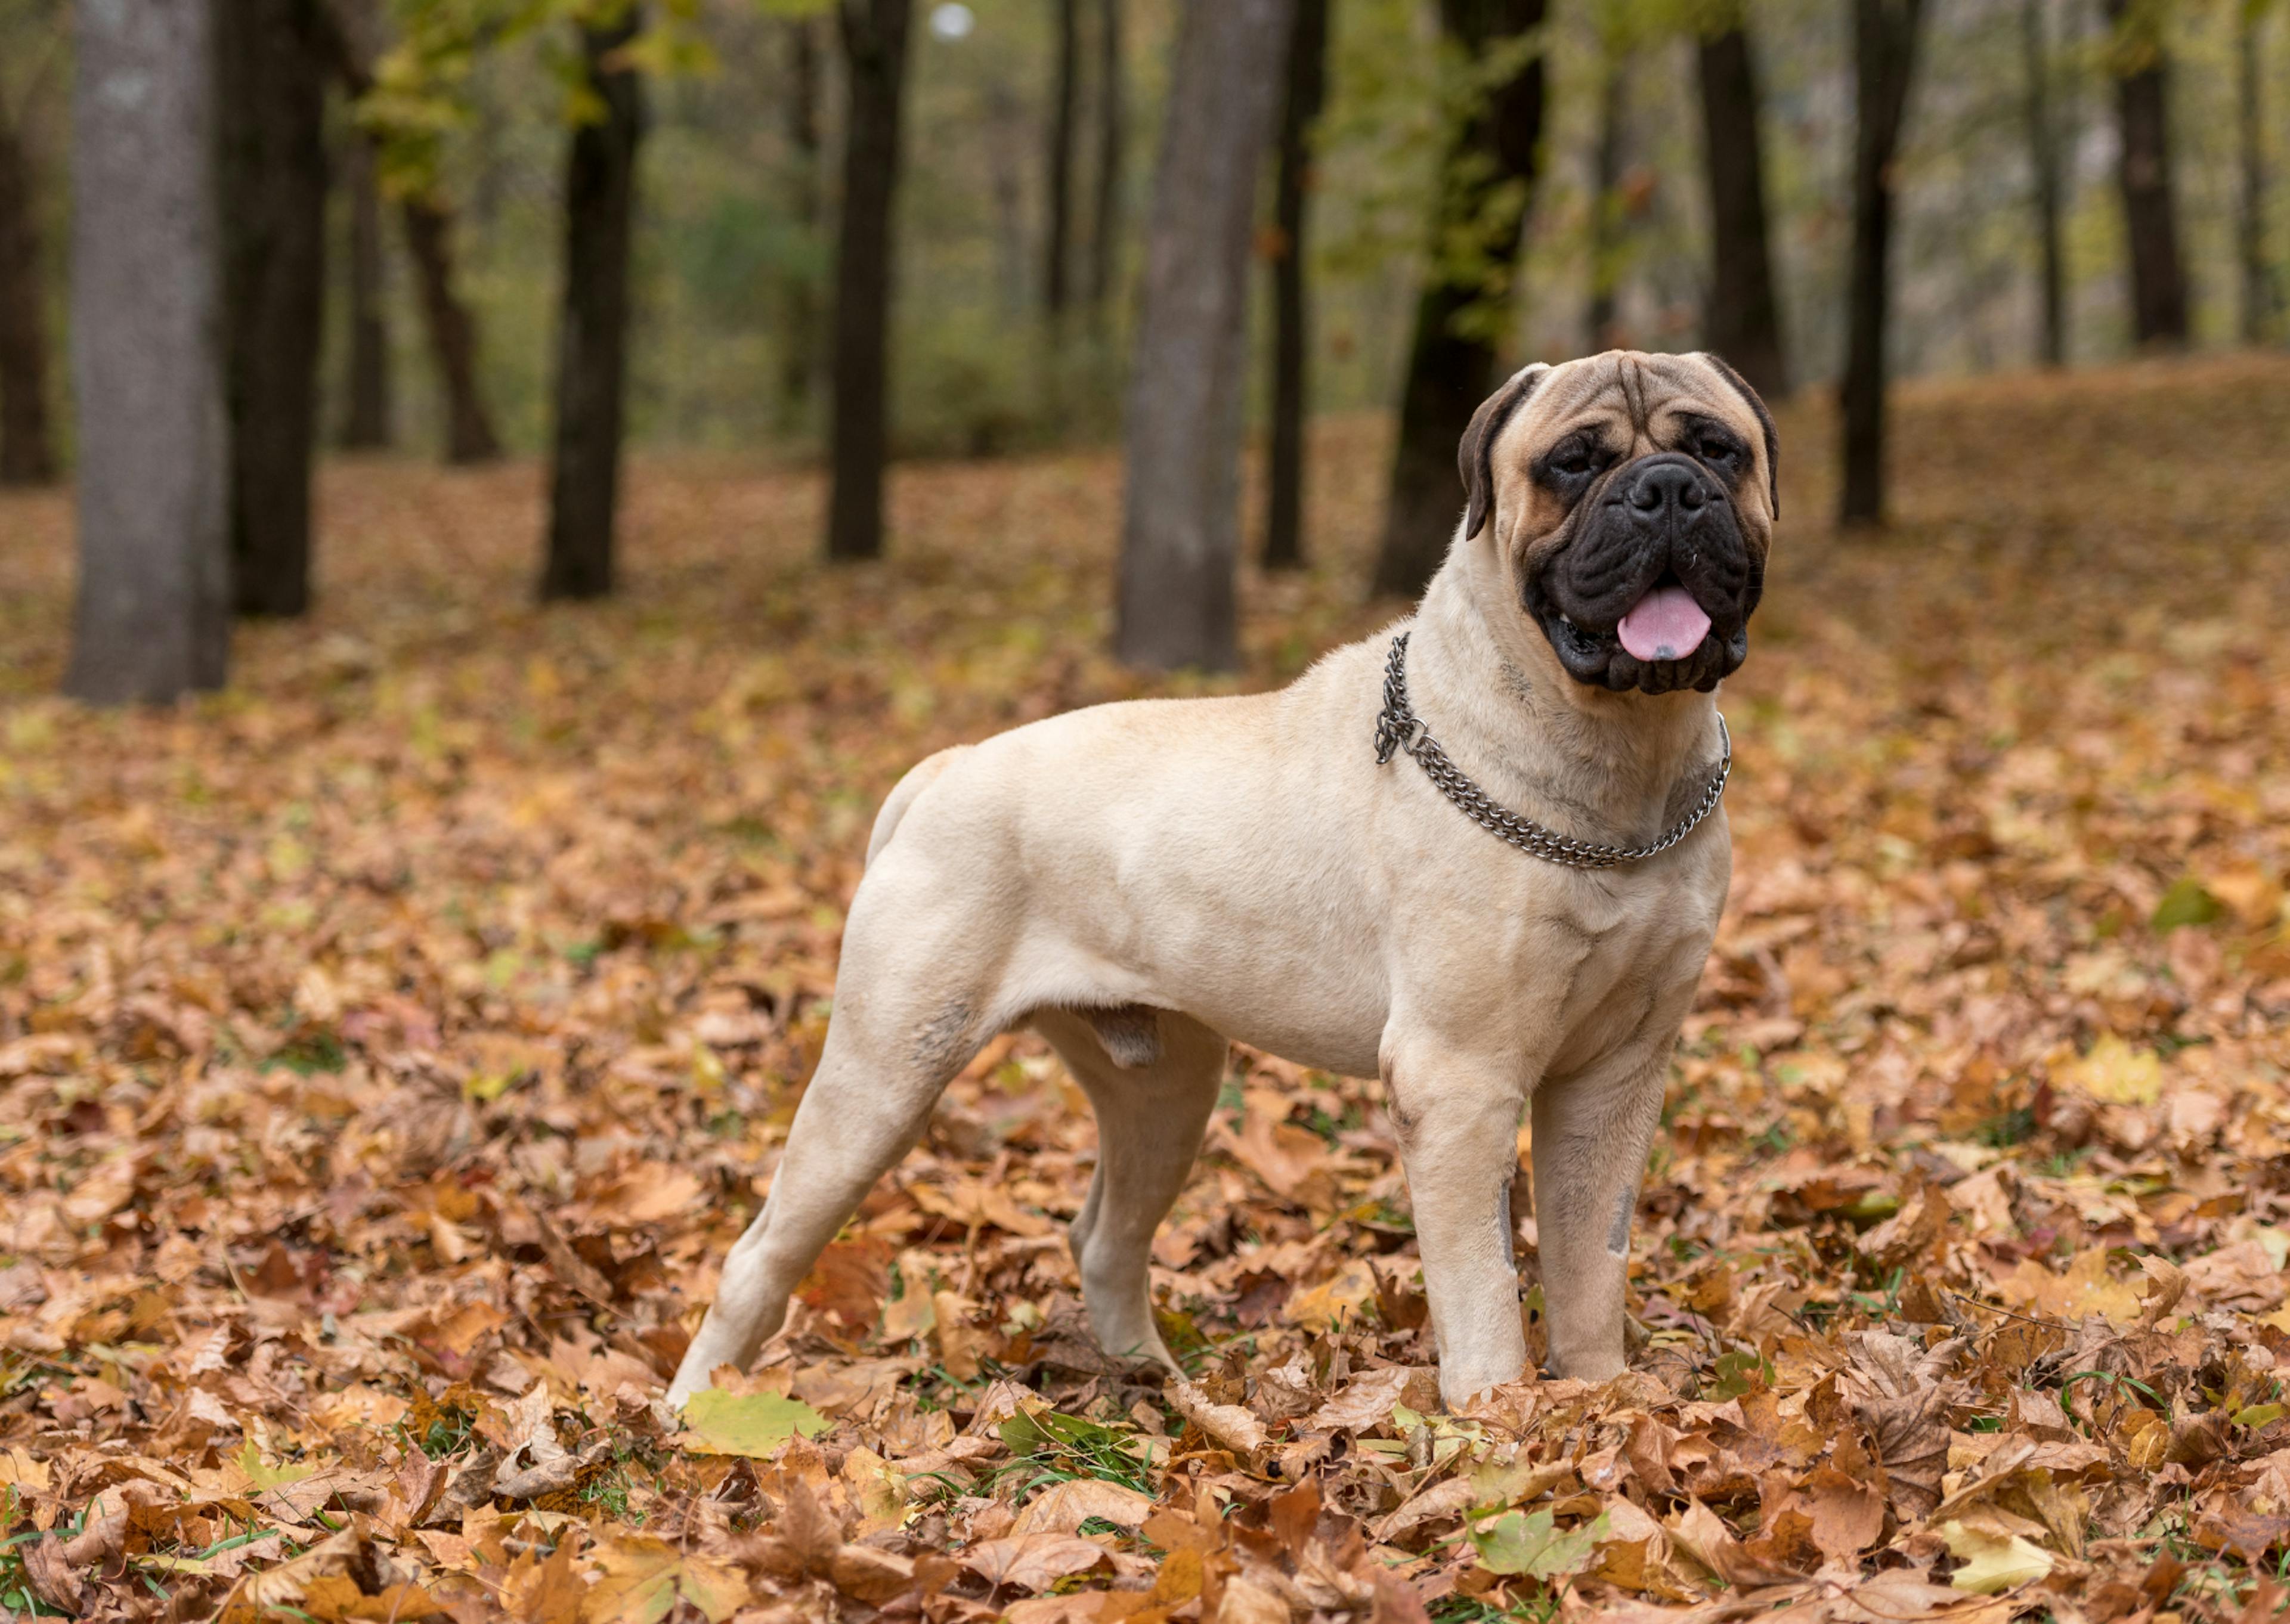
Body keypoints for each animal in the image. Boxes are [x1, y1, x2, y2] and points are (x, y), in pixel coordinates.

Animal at [664, 350, 1768, 1402]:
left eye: (1719, 450)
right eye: (1573, 463)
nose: (1668, 490)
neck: (1621, 769)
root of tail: (947, 767)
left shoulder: (1616, 1073)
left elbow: (1590, 1263)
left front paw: (1601, 1405)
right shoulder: (1461, 1079)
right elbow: (1485, 1288)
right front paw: (1501, 1426)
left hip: (1165, 1088)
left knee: (1106, 1238)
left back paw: (1158, 1387)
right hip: (883, 1078)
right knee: (761, 1253)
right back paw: (695, 1411)